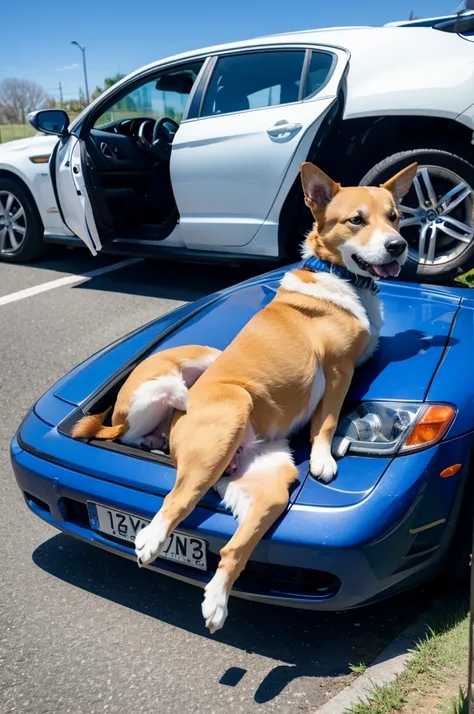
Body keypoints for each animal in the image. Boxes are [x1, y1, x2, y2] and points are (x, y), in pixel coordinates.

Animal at [129, 160, 414, 628]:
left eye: (394, 217)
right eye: (356, 220)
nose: (399, 246)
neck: (335, 274)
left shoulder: (352, 367)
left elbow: (332, 417)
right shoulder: (337, 370)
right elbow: (328, 420)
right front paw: (323, 459)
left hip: (271, 489)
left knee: (231, 549)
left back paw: (217, 603)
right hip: (230, 418)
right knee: (175, 500)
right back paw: (151, 540)